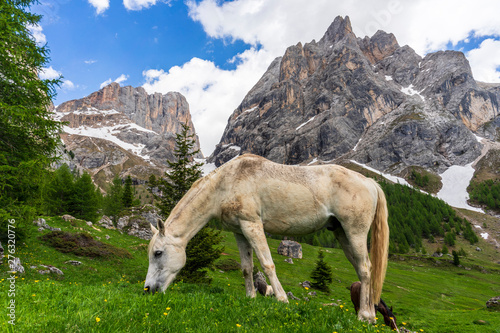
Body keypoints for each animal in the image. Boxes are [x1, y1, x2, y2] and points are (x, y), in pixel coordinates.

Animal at [145, 154, 390, 322]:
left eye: (158, 253)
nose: (148, 290)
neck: (225, 184)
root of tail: (369, 182)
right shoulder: (239, 231)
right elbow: (247, 267)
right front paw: (251, 298)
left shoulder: (252, 225)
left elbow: (267, 263)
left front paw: (281, 299)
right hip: (341, 233)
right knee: (361, 269)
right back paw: (368, 315)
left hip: (355, 231)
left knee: (366, 269)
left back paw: (365, 316)